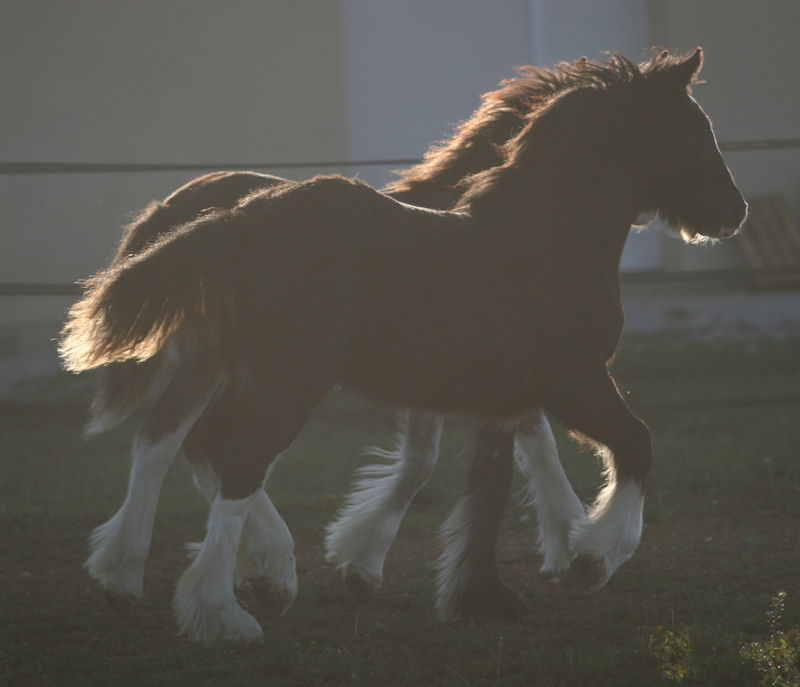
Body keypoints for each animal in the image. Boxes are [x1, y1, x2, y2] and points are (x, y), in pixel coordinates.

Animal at [61, 49, 744, 644]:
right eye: (694, 129)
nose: (734, 212)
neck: (544, 239)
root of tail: (241, 216)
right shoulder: (574, 380)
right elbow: (633, 443)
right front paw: (591, 557)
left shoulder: (493, 394)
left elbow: (482, 477)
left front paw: (469, 588)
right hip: (287, 379)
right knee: (234, 459)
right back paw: (225, 609)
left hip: (238, 369)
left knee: (182, 442)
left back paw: (154, 576)